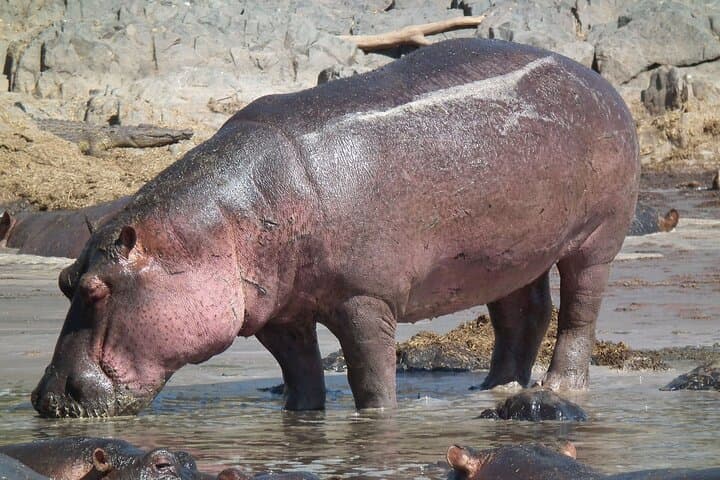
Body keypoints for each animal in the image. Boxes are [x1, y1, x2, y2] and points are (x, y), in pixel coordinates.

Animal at [32, 37, 639, 418]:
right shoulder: (275, 311)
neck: (220, 226)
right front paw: (301, 418)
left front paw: (376, 419)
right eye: (63, 281)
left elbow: (369, 375)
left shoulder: (365, 299)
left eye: (96, 289)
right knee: (523, 313)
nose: (44, 398)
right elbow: (300, 371)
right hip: (510, 251)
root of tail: (597, 80)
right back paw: (493, 387)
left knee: (579, 314)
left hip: (597, 239)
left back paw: (560, 386)